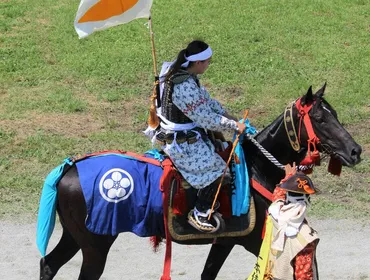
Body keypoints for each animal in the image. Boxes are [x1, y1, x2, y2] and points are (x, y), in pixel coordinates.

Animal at [38, 84, 362, 278]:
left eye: (334, 114)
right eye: (320, 118)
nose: (355, 151)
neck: (257, 168)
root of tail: (69, 168)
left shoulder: (226, 241)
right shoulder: (254, 240)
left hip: (75, 237)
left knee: (48, 264)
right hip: (95, 245)